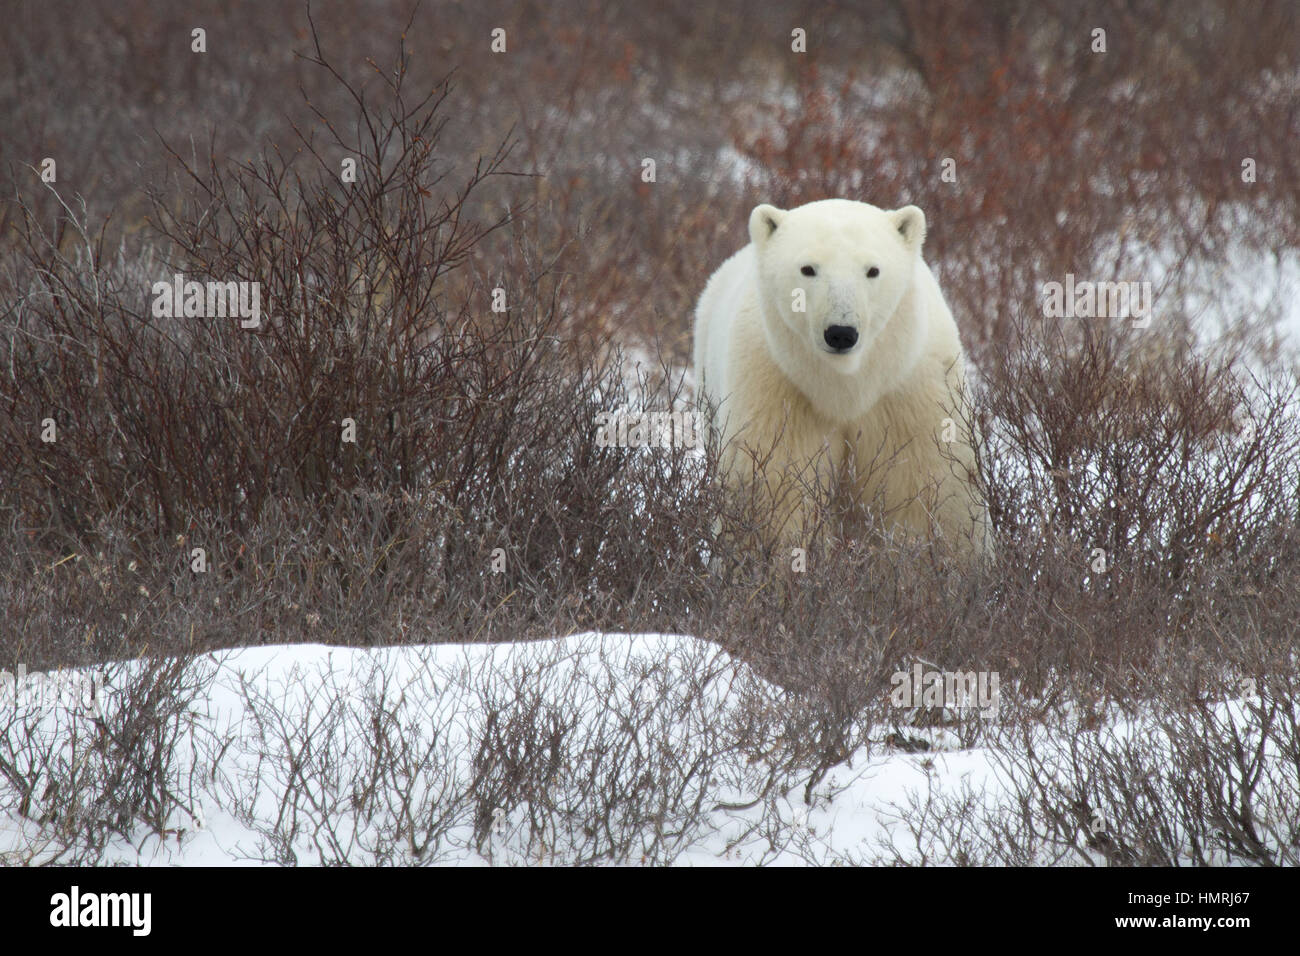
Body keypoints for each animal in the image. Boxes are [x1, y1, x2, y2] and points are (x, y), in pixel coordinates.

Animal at [693, 198, 990, 558]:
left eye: (872, 270)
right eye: (808, 268)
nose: (841, 332)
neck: (849, 386)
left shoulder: (912, 391)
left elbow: (927, 487)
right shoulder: (776, 389)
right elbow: (775, 491)